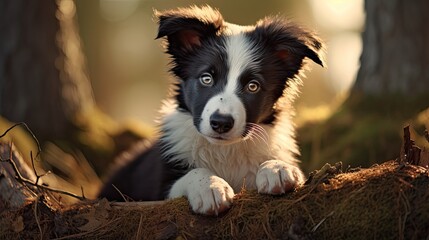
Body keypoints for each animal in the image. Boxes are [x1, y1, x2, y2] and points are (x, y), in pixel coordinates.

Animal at [99, 5, 320, 216]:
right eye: (207, 78)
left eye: (253, 86)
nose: (221, 123)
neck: (225, 152)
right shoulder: (161, 188)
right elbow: (193, 173)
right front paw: (210, 188)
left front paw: (277, 168)